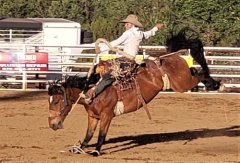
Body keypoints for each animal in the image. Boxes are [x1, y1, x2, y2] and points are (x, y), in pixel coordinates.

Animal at [47, 27, 221, 156]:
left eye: (56, 101)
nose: (52, 124)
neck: (93, 90)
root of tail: (167, 56)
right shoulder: (93, 116)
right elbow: (89, 134)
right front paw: (79, 148)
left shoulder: (107, 115)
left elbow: (102, 134)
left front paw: (96, 151)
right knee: (195, 70)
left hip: (181, 84)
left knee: (200, 72)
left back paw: (216, 84)